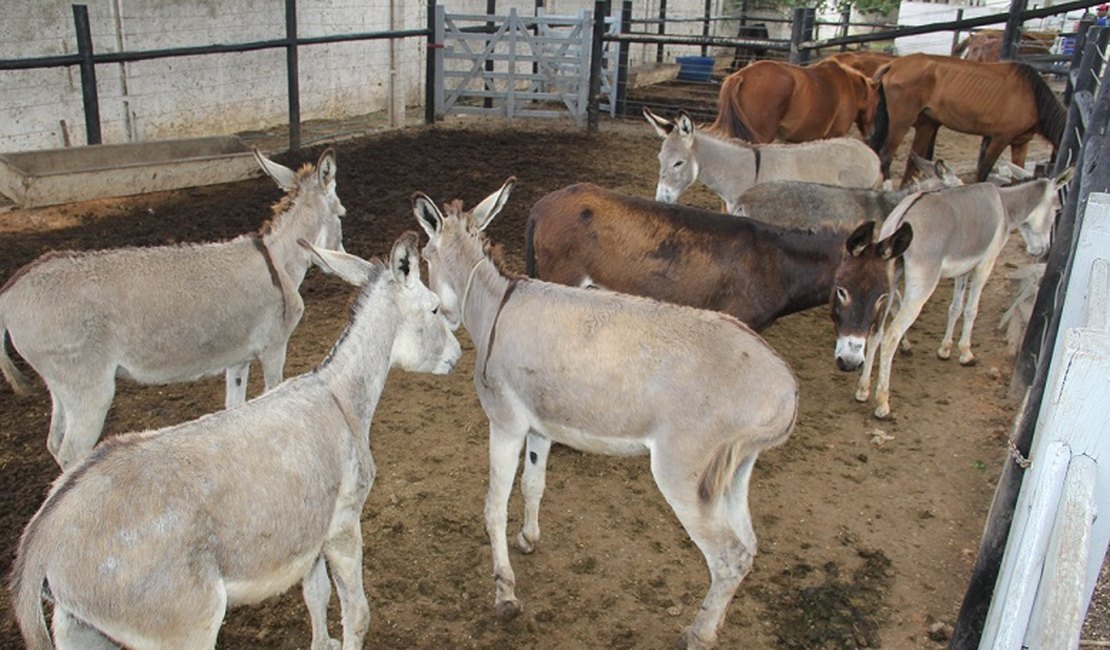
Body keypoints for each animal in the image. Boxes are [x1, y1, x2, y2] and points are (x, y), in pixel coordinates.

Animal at [865, 51, 1065, 183]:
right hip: (901, 122)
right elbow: (984, 170)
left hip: (920, 123)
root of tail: (893, 65)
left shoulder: (1020, 143)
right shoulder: (1000, 138)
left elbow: (1018, 172)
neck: (1033, 98)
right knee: (885, 156)